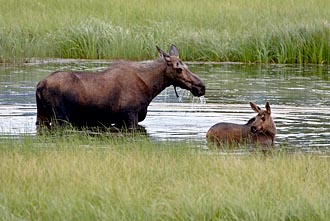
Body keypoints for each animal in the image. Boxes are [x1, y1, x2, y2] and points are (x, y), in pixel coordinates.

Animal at [36, 44, 206, 129]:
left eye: (187, 66)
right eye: (179, 69)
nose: (201, 86)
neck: (151, 88)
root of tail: (40, 85)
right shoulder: (130, 116)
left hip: (42, 114)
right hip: (60, 116)